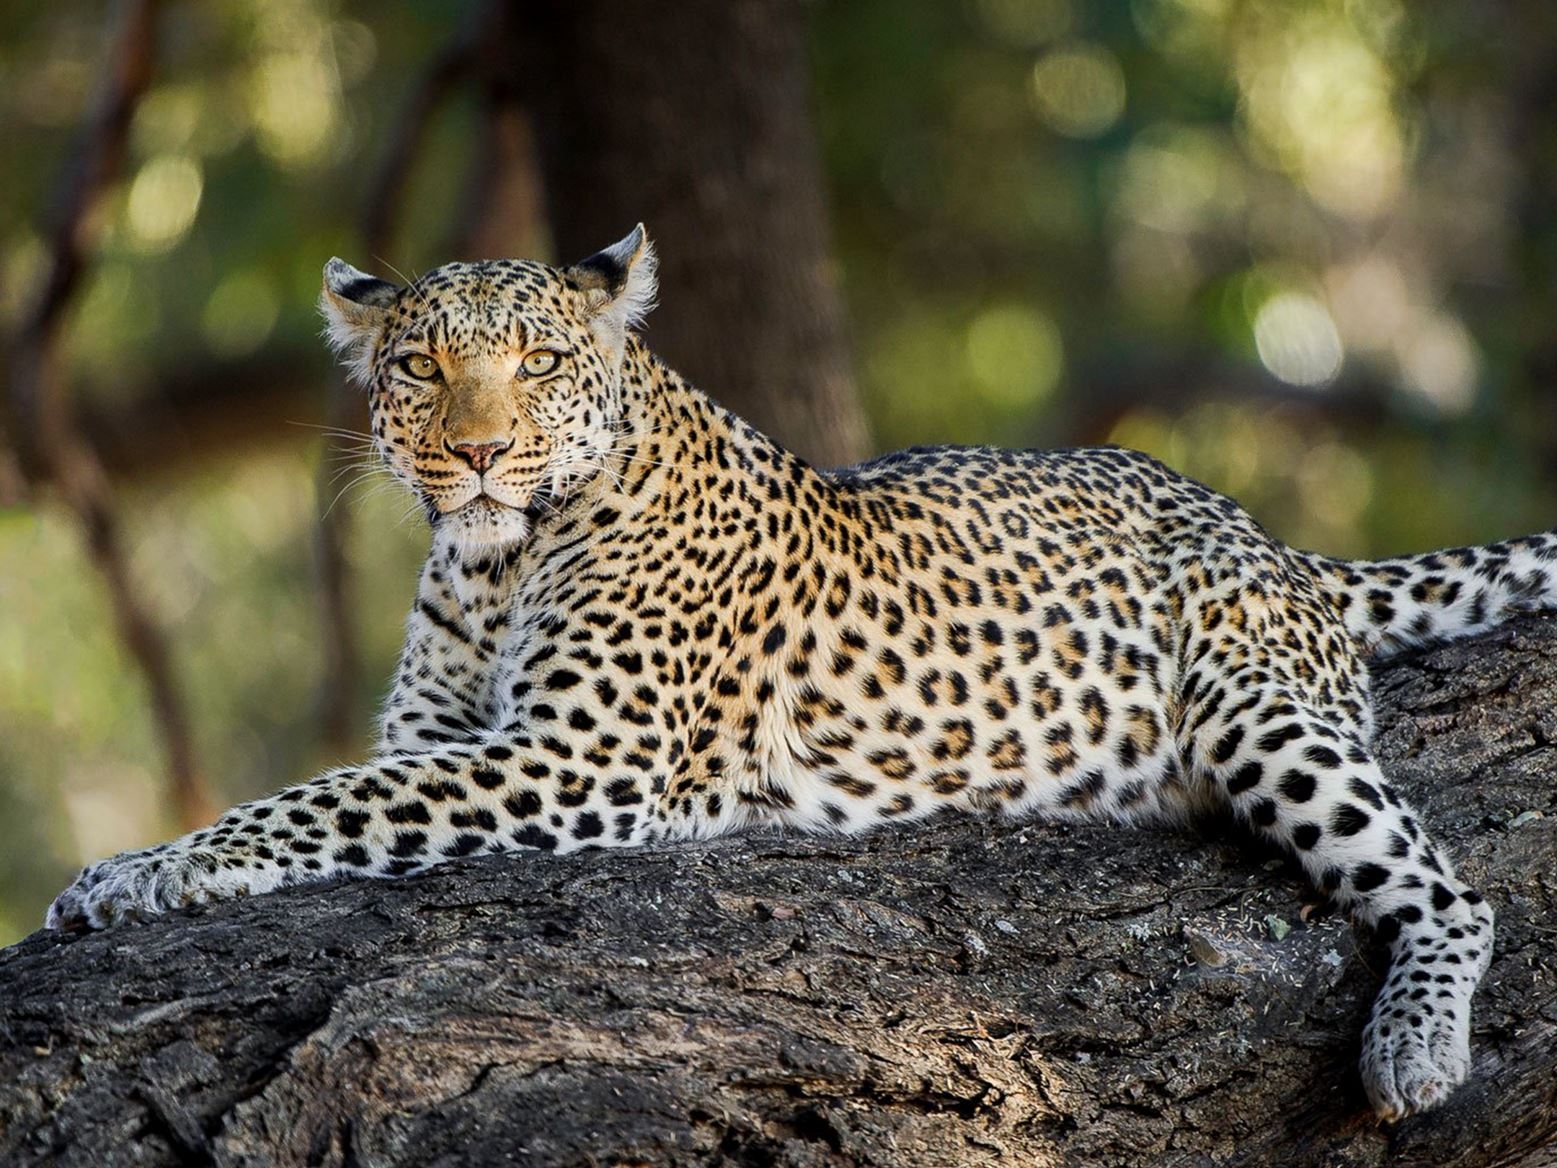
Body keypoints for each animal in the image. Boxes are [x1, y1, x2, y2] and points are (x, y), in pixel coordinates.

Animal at [45, 225, 1557, 1121]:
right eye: (421, 366)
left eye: (534, 363)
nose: (474, 455)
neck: (492, 563)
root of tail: (1279, 541)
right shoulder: (442, 736)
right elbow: (344, 789)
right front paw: (129, 868)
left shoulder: (578, 761)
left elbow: (318, 801)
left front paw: (162, 870)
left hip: (1257, 707)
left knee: (1450, 891)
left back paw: (1414, 1051)